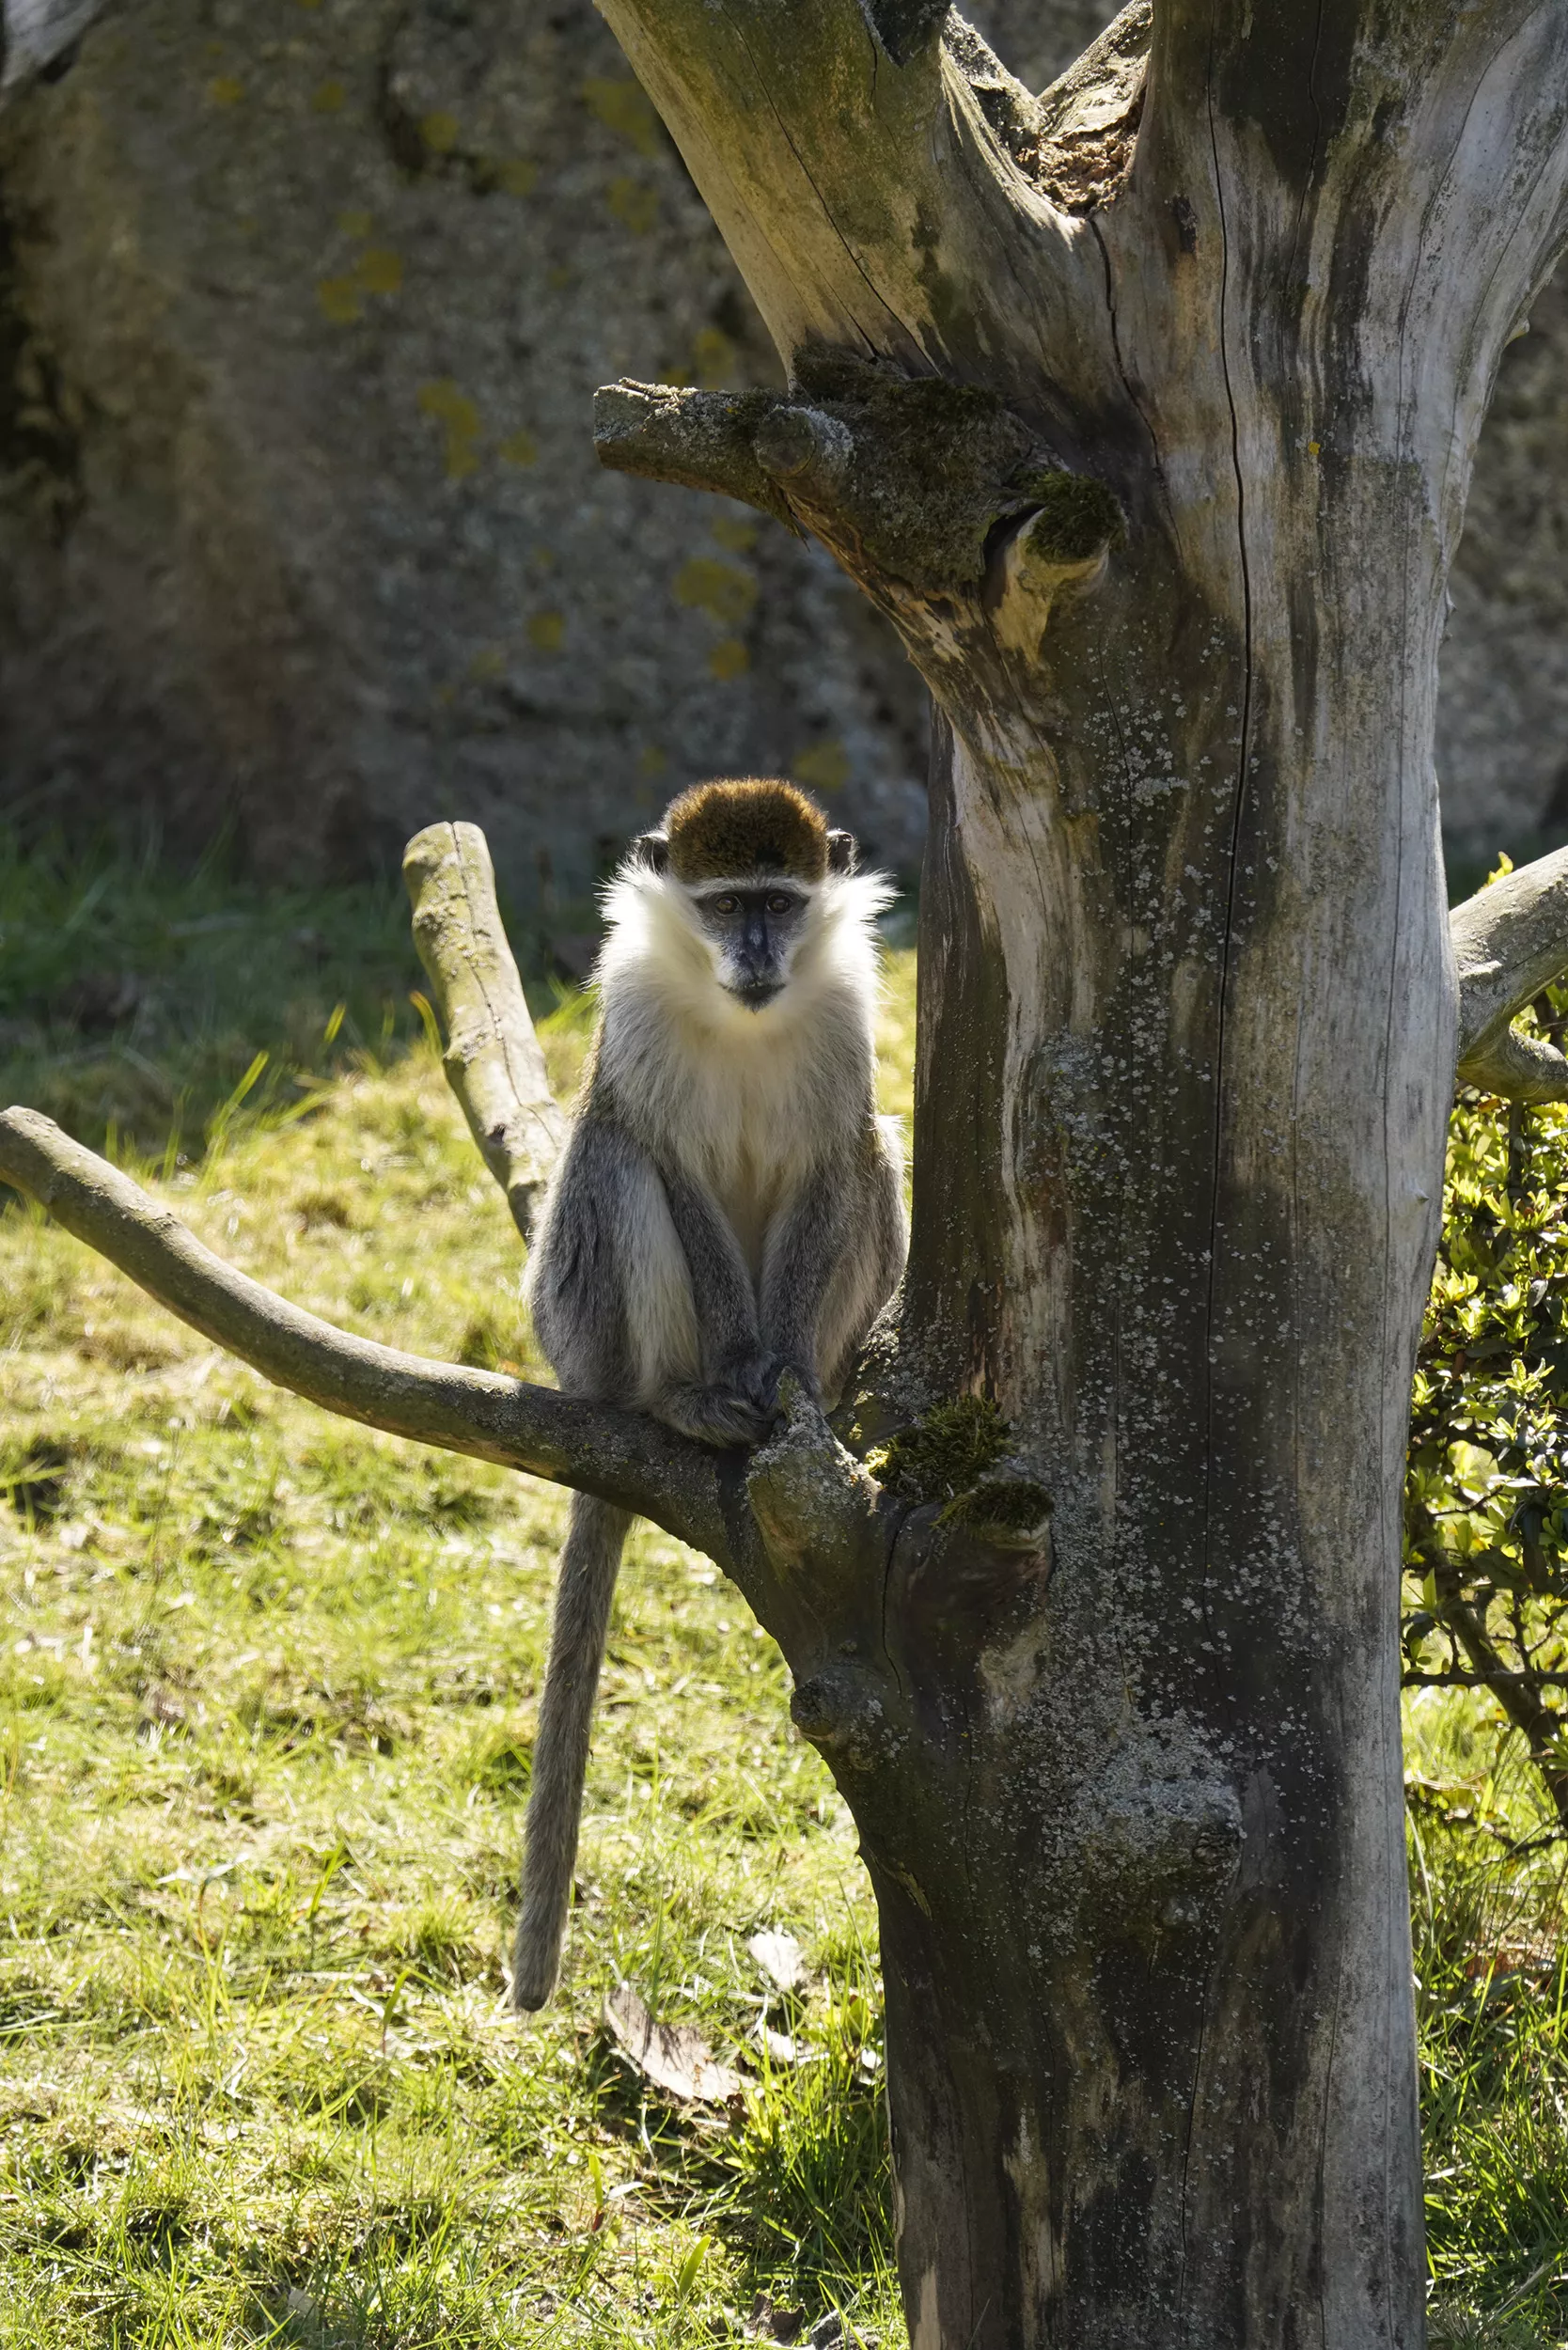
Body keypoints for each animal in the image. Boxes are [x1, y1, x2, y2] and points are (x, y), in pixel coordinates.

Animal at [512, 776, 907, 2002]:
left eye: (779, 902)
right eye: (724, 903)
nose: (758, 954)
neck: (744, 1018)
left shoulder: (848, 1012)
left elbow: (836, 1163)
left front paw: (791, 1378)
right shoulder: (633, 1006)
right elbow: (671, 1167)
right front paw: (737, 1366)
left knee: (877, 1153)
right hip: (581, 1329)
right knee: (615, 1156)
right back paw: (684, 1403)